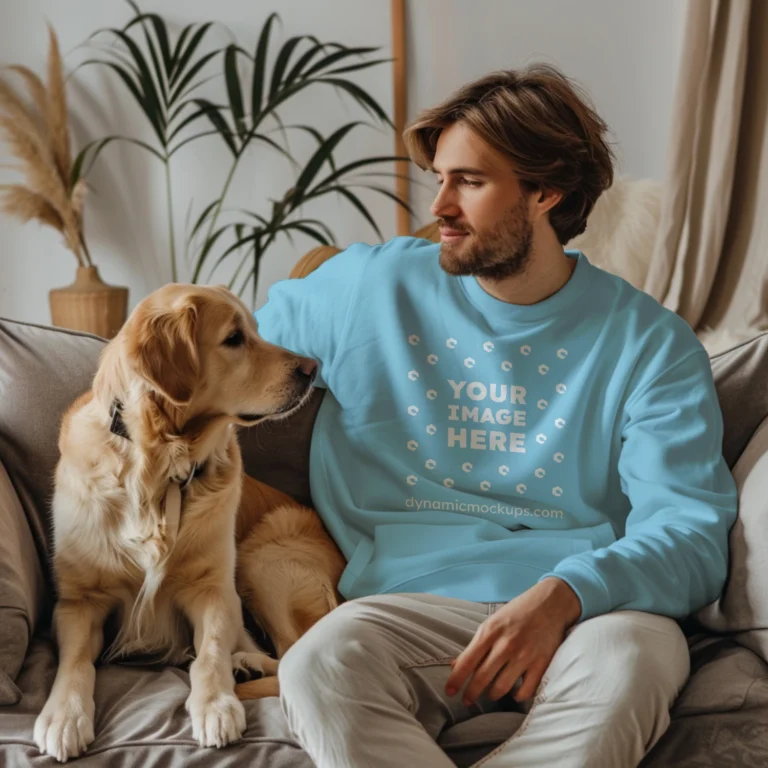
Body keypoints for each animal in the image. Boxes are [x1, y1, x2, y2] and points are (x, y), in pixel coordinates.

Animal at [33, 284, 340, 760]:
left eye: (256, 330)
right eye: (234, 338)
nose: (313, 369)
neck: (158, 467)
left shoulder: (214, 590)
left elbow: (209, 654)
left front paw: (215, 705)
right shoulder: (78, 602)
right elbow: (76, 662)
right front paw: (64, 716)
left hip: (262, 559)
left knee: (292, 654)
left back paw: (246, 666)